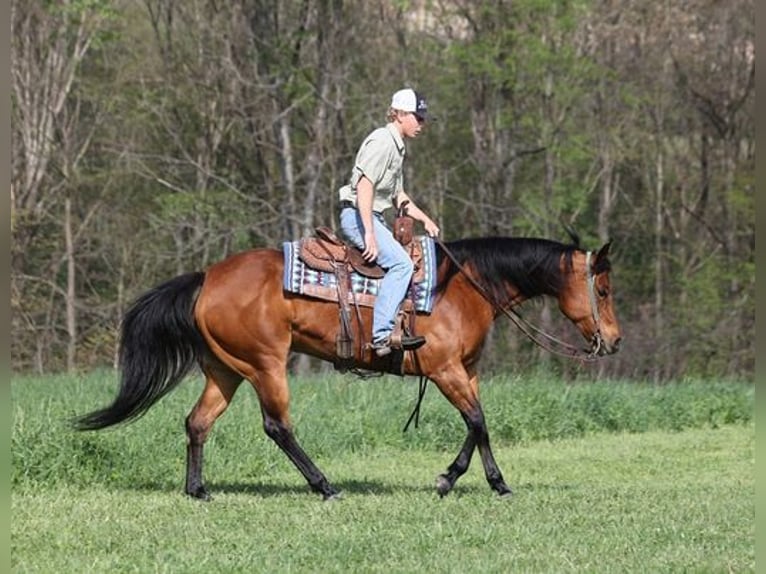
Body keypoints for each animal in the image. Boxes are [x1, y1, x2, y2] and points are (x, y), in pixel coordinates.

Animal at [75, 235, 621, 500]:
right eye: (603, 289)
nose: (613, 341)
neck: (463, 286)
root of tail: (207, 276)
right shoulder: (445, 371)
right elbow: (478, 420)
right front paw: (457, 480)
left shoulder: (466, 372)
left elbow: (479, 425)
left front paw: (484, 480)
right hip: (266, 364)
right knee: (278, 426)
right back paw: (325, 486)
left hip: (226, 370)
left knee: (197, 422)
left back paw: (198, 490)